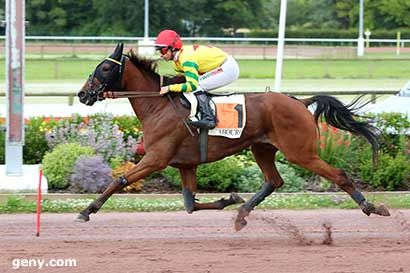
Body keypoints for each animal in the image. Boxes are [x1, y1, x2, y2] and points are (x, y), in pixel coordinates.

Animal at [76, 43, 388, 230]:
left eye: (105, 68)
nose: (82, 94)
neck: (158, 105)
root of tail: (299, 102)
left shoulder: (156, 159)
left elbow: (119, 180)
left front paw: (87, 210)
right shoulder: (186, 164)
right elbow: (190, 204)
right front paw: (231, 199)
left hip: (300, 152)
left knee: (339, 175)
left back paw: (372, 207)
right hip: (262, 148)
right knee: (274, 181)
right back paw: (241, 214)